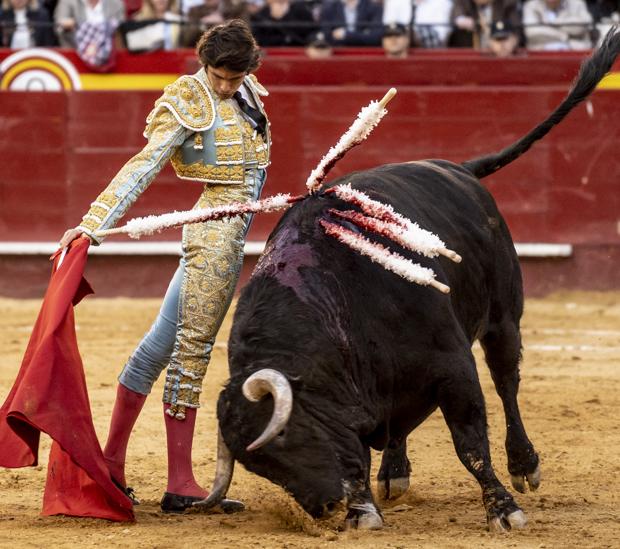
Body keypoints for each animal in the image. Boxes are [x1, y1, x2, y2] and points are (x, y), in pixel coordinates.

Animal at [200, 27, 620, 528]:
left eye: (281, 436)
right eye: (258, 466)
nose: (325, 507)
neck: (338, 301)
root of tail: (460, 169)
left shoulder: (454, 366)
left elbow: (469, 442)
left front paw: (503, 509)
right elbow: (361, 451)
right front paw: (364, 509)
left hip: (503, 319)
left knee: (506, 382)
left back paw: (524, 465)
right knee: (403, 424)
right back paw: (395, 472)